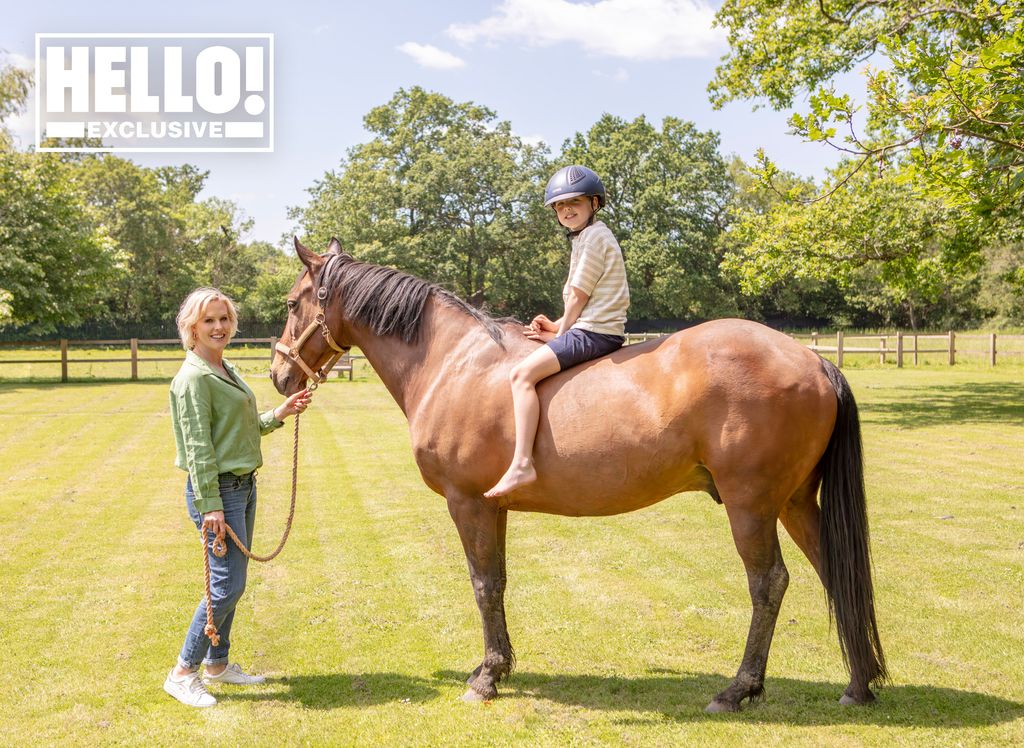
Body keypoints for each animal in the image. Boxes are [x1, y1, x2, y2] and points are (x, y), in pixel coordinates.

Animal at [272, 238, 888, 709]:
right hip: (794, 503)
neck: (454, 361)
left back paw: (739, 689)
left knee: (769, 584)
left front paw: (486, 677)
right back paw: (858, 685)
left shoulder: (467, 502)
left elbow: (482, 584)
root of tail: (815, 360)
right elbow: (497, 583)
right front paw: (501, 666)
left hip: (752, 506)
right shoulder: (492, 507)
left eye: (293, 302)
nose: (280, 374)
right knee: (836, 572)